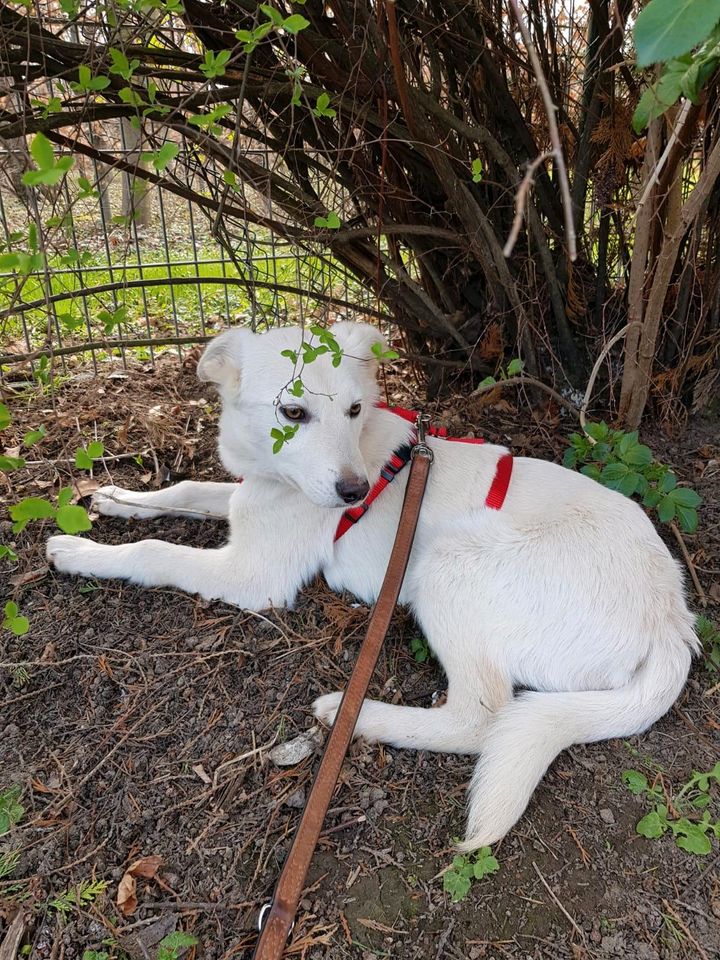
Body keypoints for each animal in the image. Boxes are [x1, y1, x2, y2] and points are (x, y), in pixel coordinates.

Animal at [45, 322, 696, 848]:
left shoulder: (255, 576)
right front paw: (114, 498)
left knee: (480, 717)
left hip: (446, 562)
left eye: (355, 410)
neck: (276, 477)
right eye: (293, 414)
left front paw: (79, 552)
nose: (355, 492)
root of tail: (672, 619)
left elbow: (155, 552)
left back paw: (351, 714)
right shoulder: (245, 503)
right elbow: (185, 491)